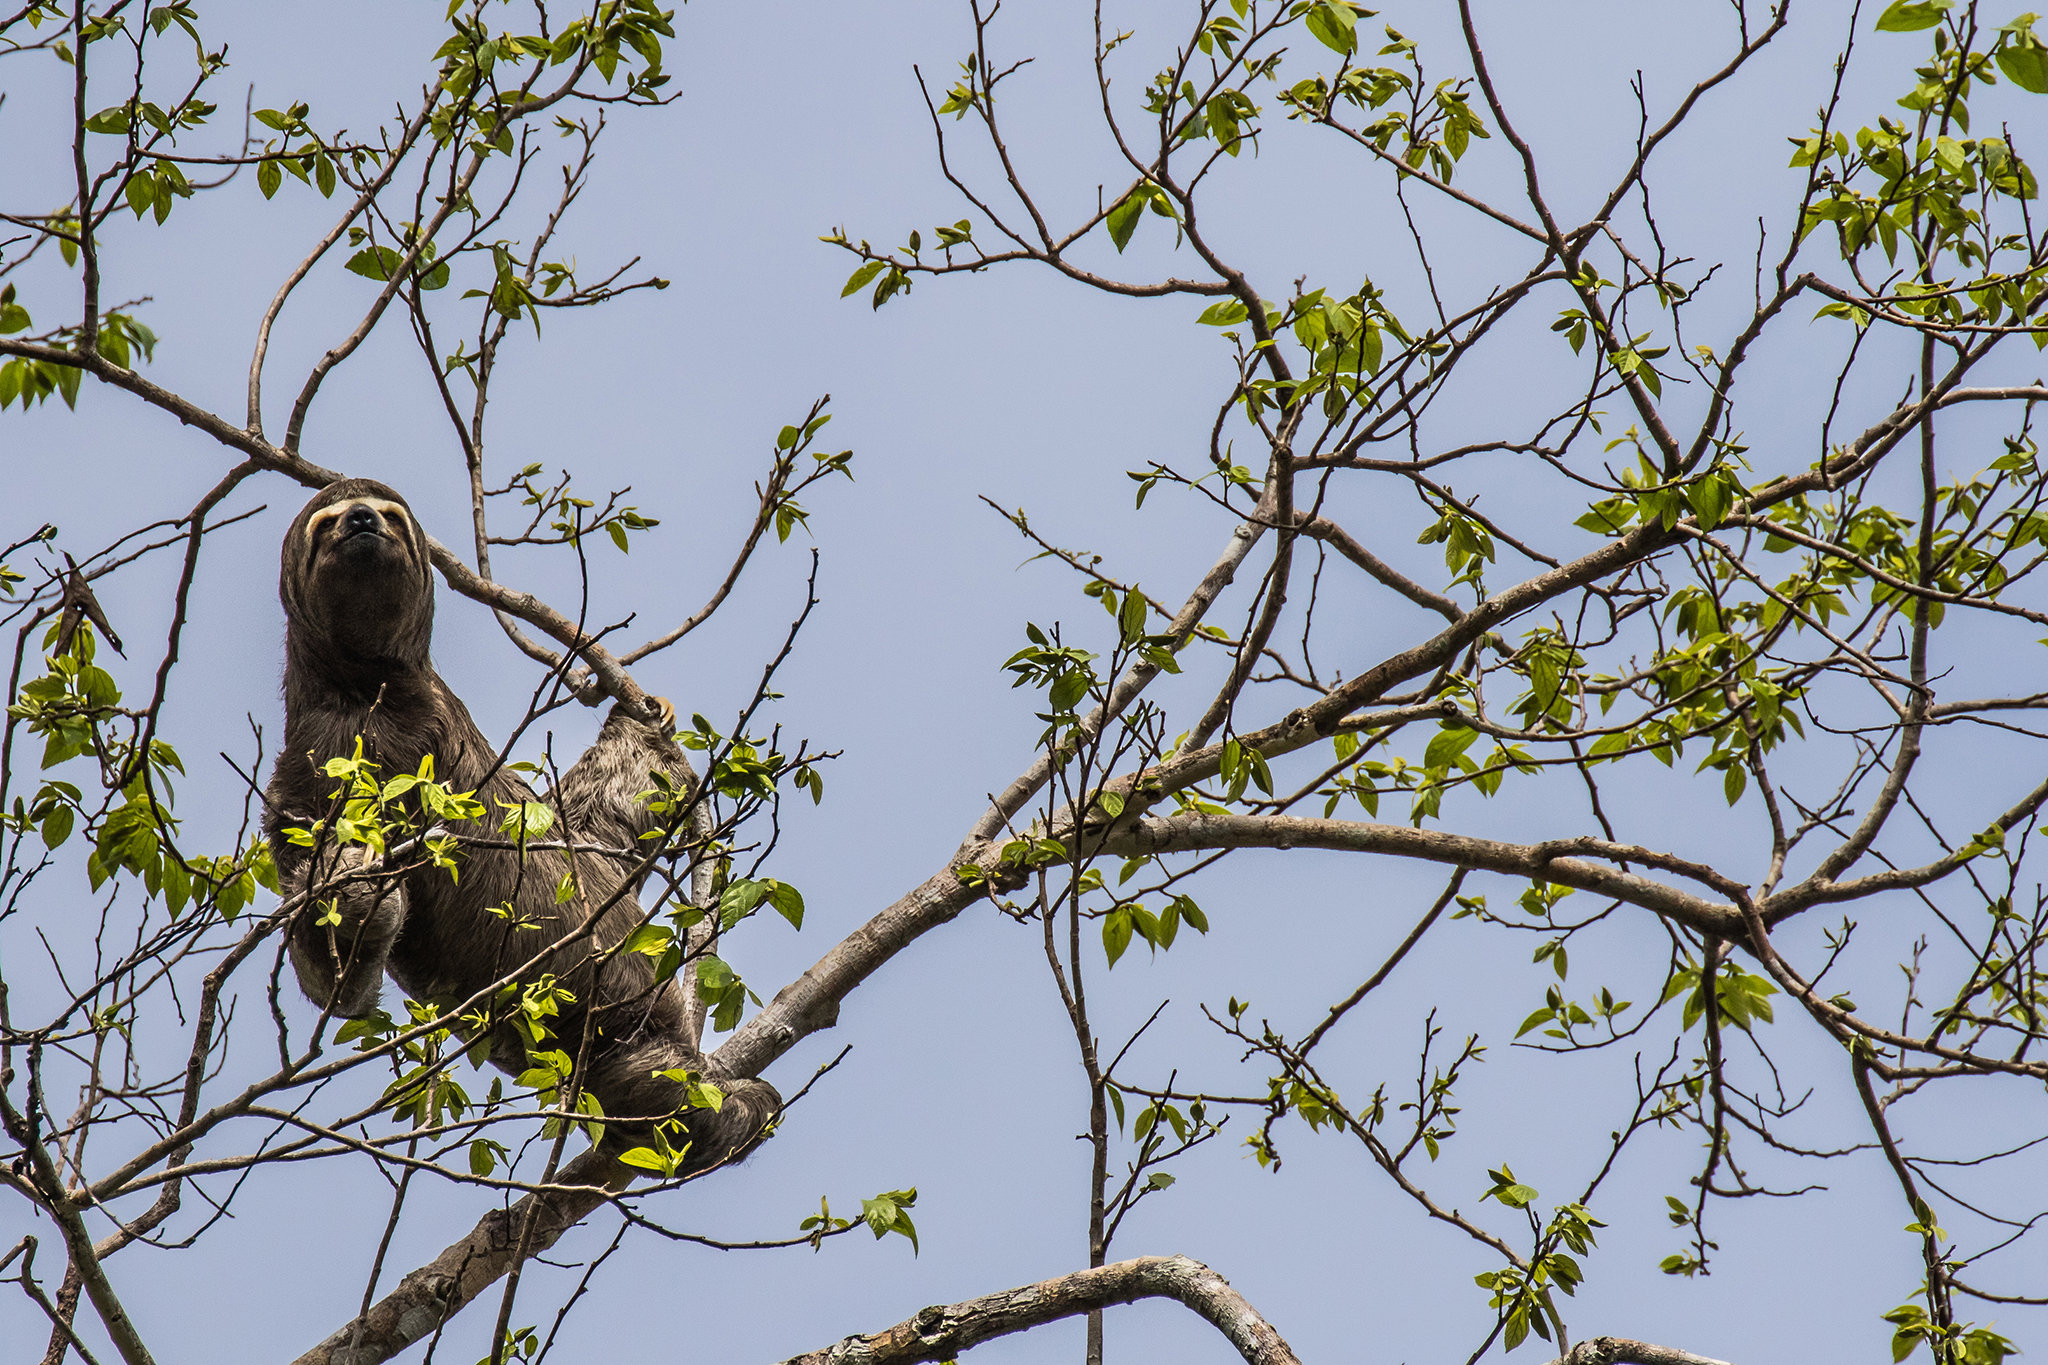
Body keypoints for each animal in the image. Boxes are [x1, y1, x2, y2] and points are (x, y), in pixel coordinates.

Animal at [263, 479, 779, 1175]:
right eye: (327, 525)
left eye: (389, 516)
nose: (364, 521)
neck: (374, 690)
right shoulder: (319, 762)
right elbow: (334, 974)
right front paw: (355, 895)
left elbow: (584, 811)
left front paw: (646, 718)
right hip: (619, 1049)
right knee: (673, 1106)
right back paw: (741, 1104)